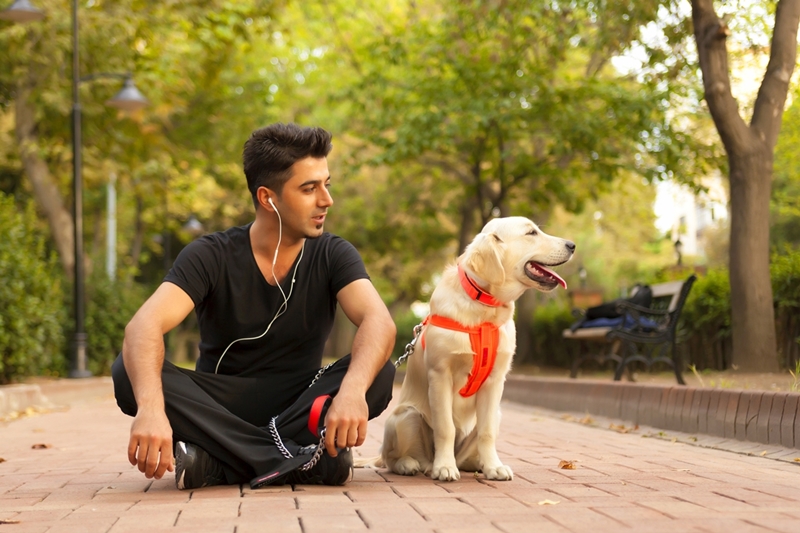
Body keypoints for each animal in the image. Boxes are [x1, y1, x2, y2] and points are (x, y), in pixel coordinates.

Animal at [376, 216, 576, 482]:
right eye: (531, 233)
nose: (572, 245)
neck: (483, 308)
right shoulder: (440, 375)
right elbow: (445, 428)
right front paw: (445, 467)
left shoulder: (495, 381)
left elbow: (487, 431)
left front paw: (494, 467)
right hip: (405, 415)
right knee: (390, 457)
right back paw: (413, 464)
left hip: (496, 413)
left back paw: (476, 464)